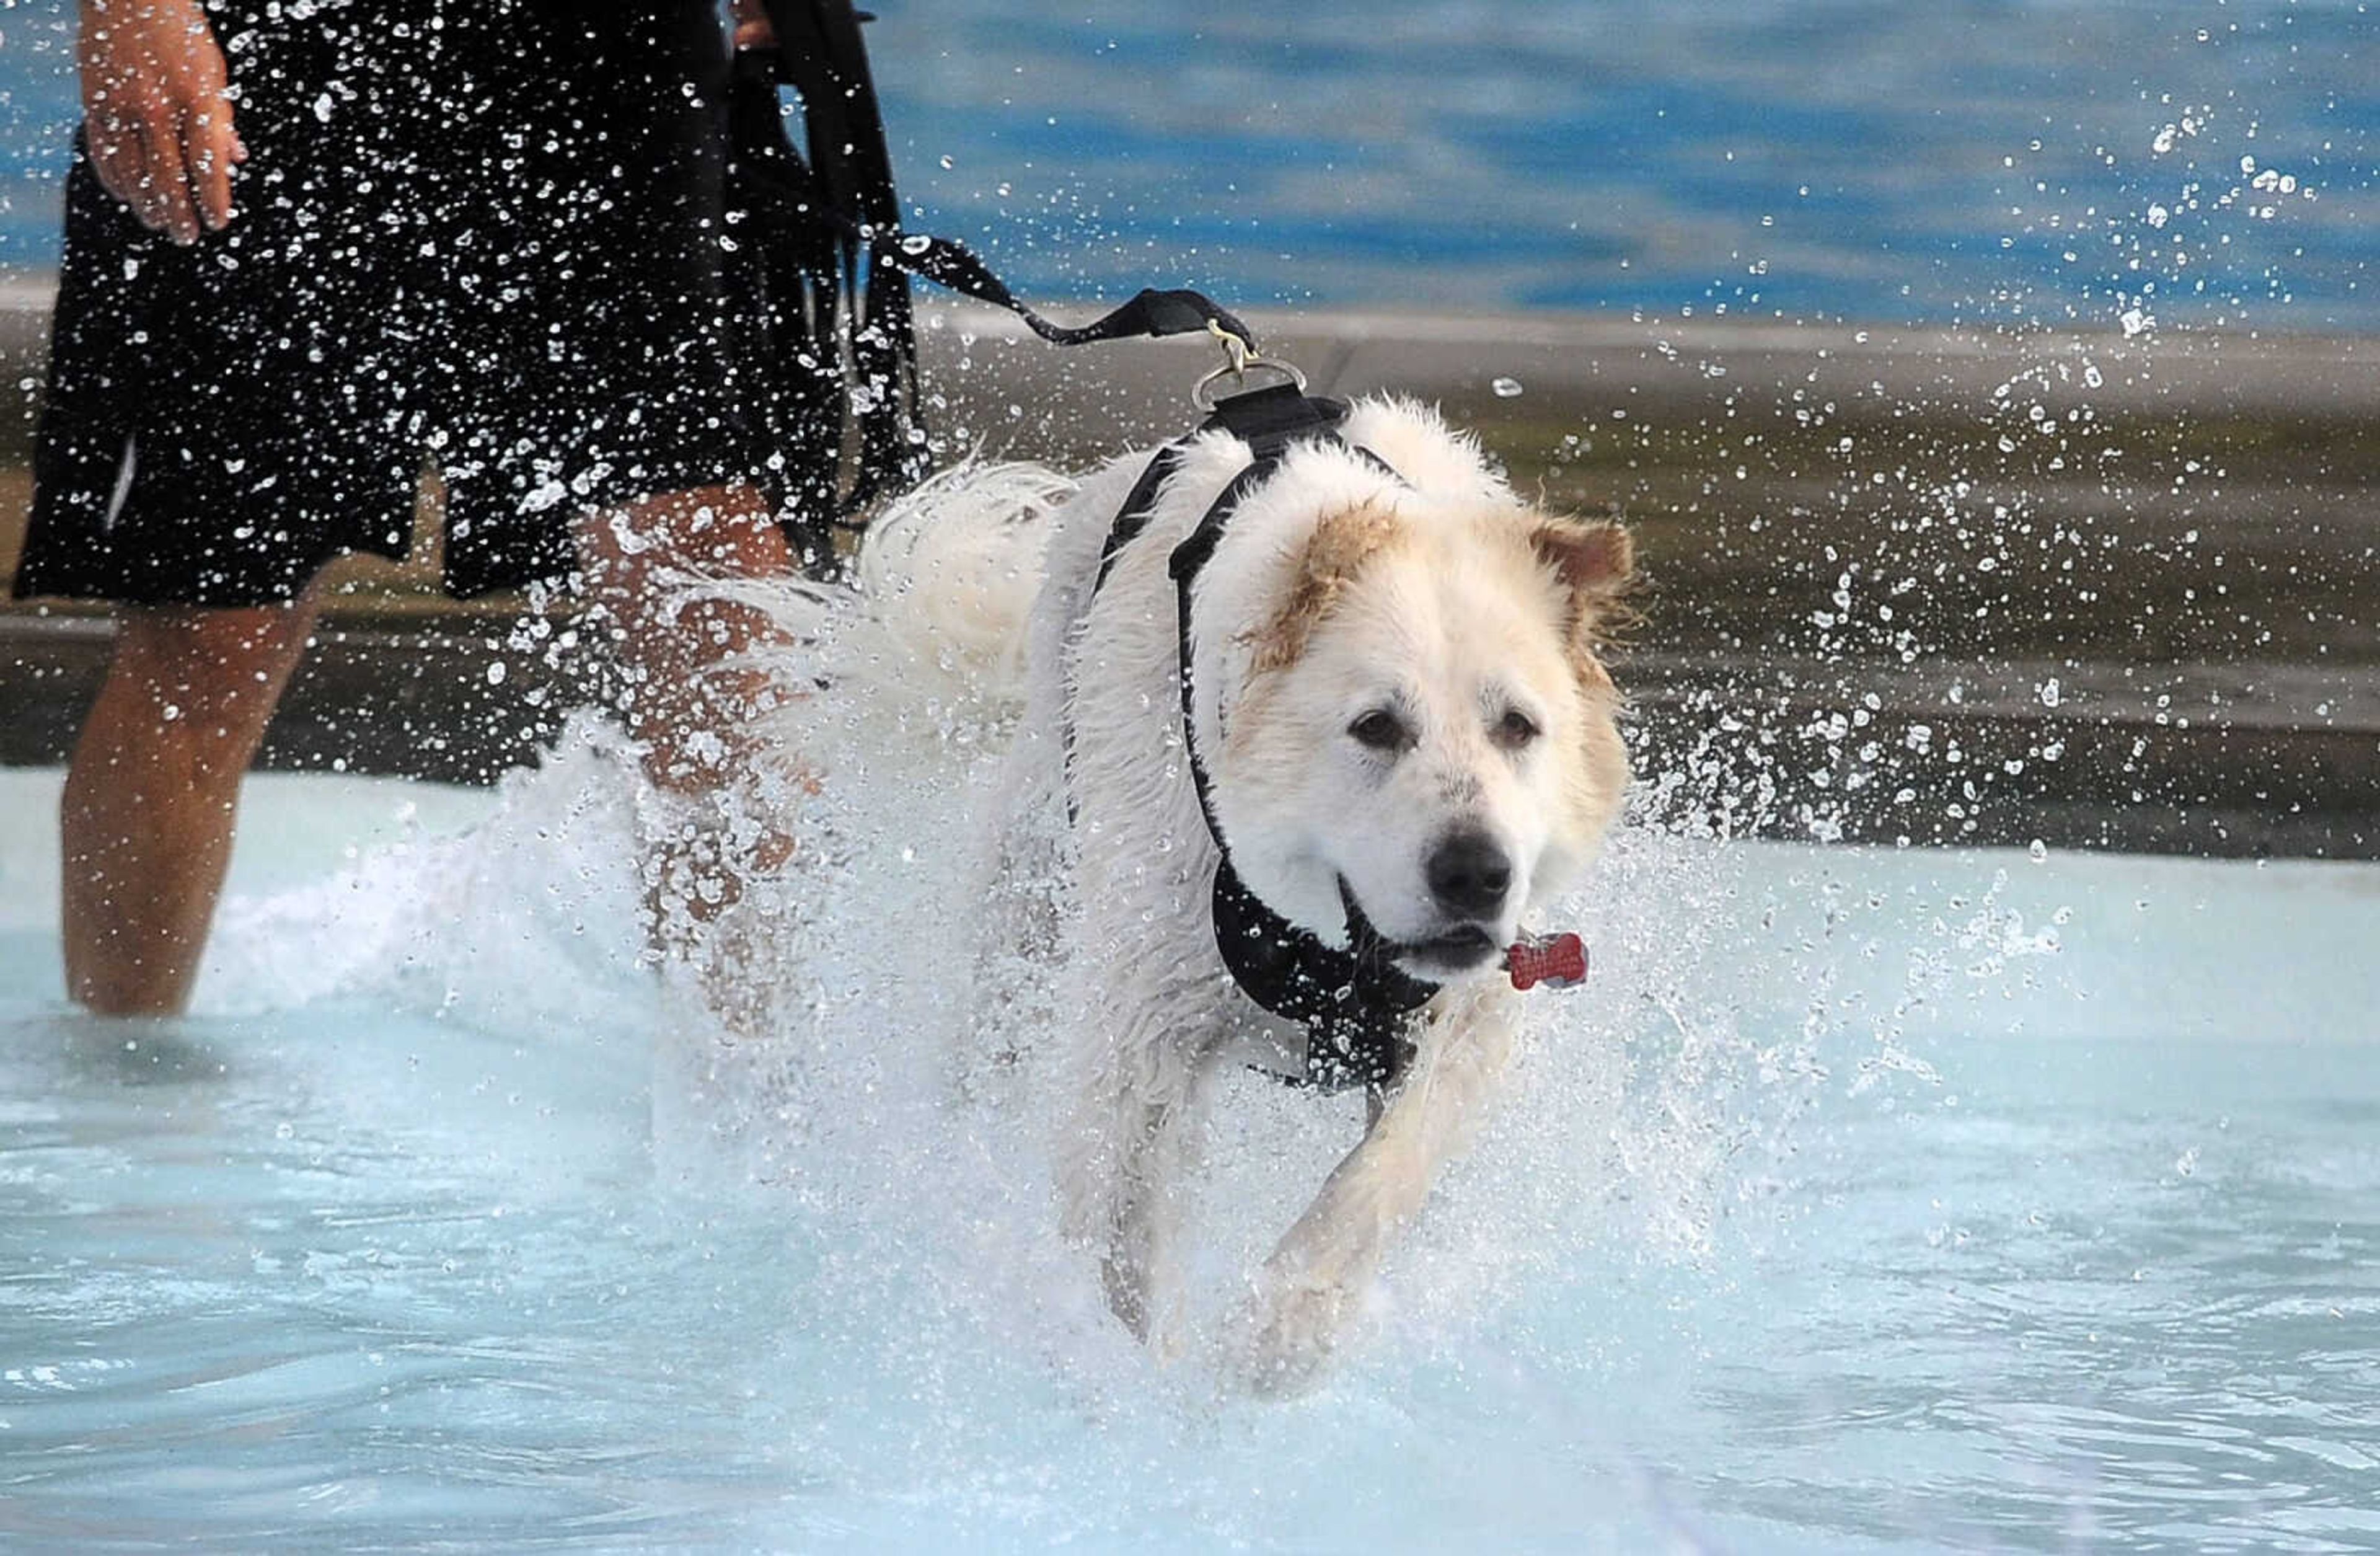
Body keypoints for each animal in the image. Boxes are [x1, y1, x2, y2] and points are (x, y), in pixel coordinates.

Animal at [757, 390, 1637, 1389]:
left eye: (1518, 725)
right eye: (1376, 725)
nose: (1477, 873)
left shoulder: (1471, 1018)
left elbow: (1382, 1175)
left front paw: (1279, 1335)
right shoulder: (1147, 1022)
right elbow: (1122, 1232)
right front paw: (1135, 1379)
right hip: (1031, 876)